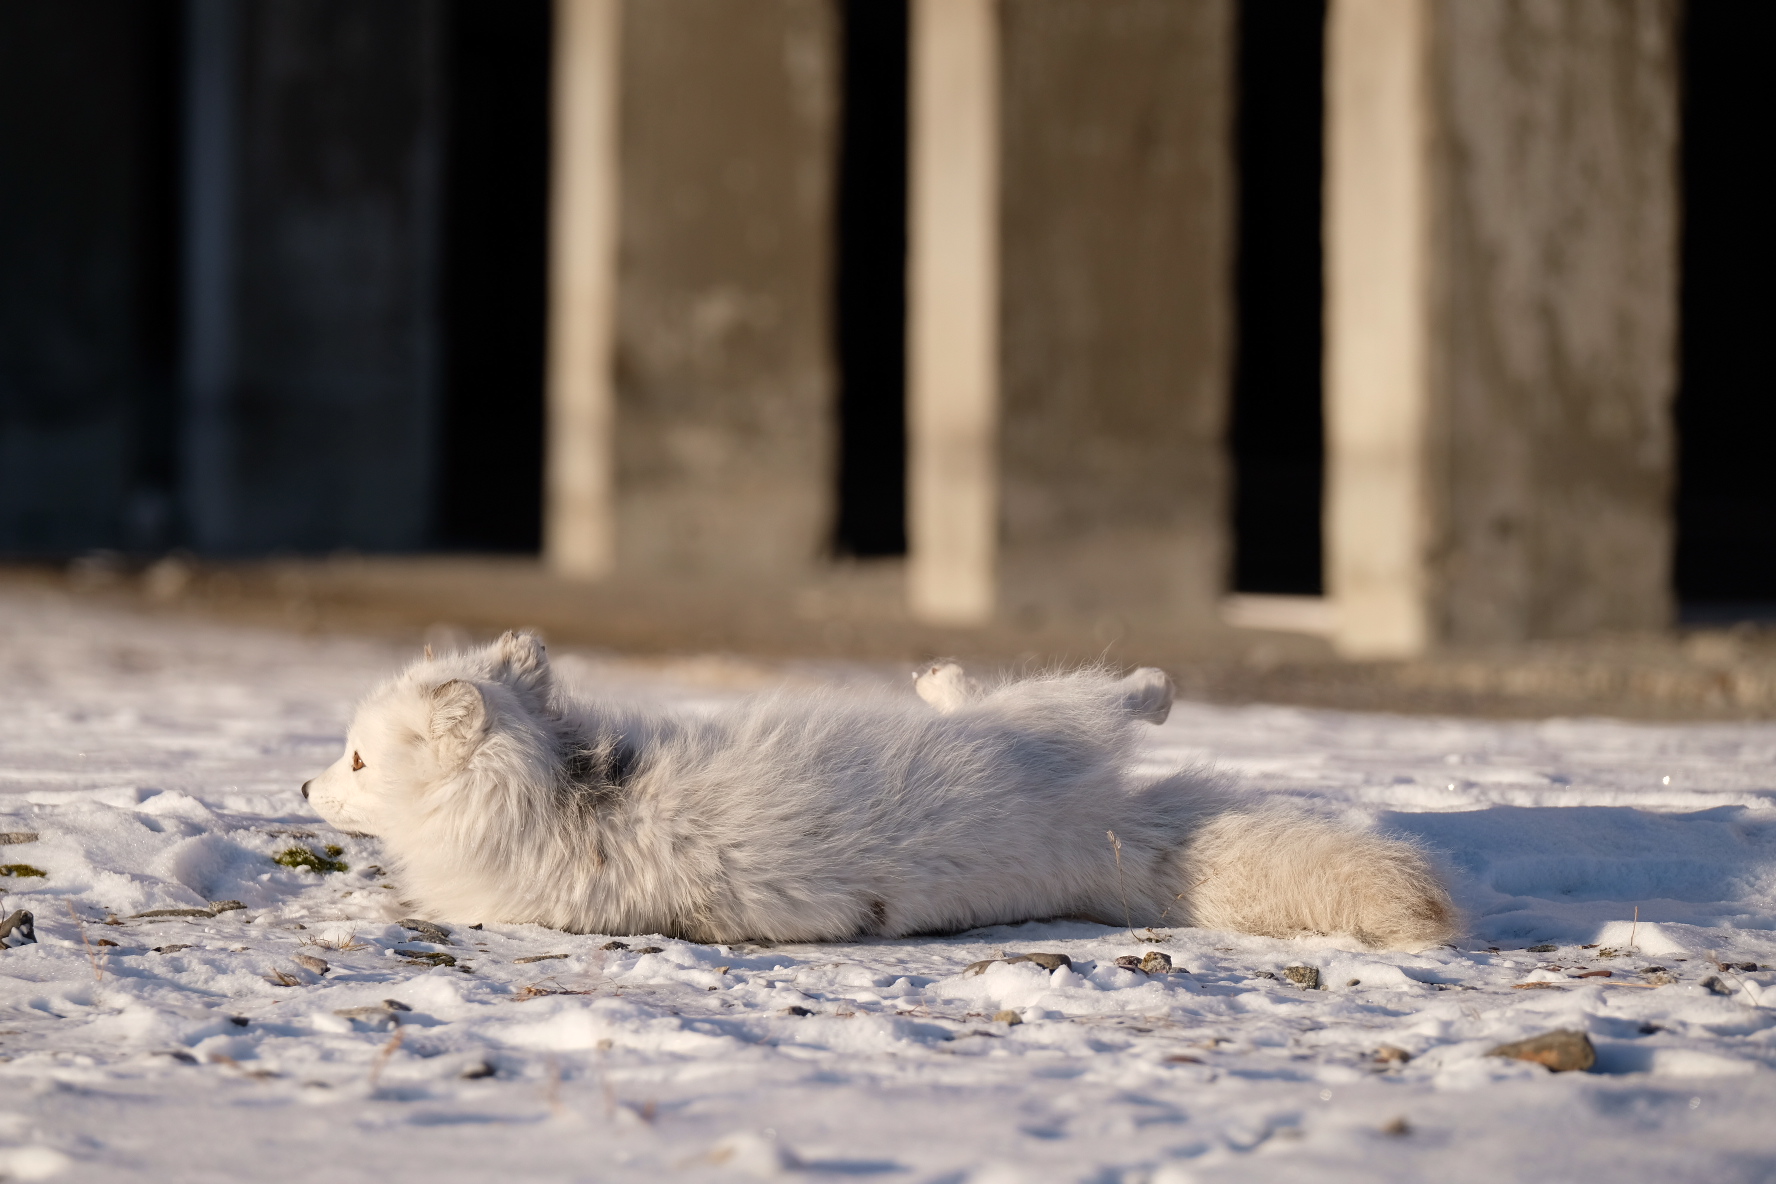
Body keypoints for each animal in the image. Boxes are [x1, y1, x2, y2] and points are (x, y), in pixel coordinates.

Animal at [301, 635, 1456, 951]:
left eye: (357, 759)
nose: (305, 782)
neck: (550, 790)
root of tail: (1108, 840)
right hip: (1042, 727)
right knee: (1099, 696)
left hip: (1043, 726)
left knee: (1103, 693)